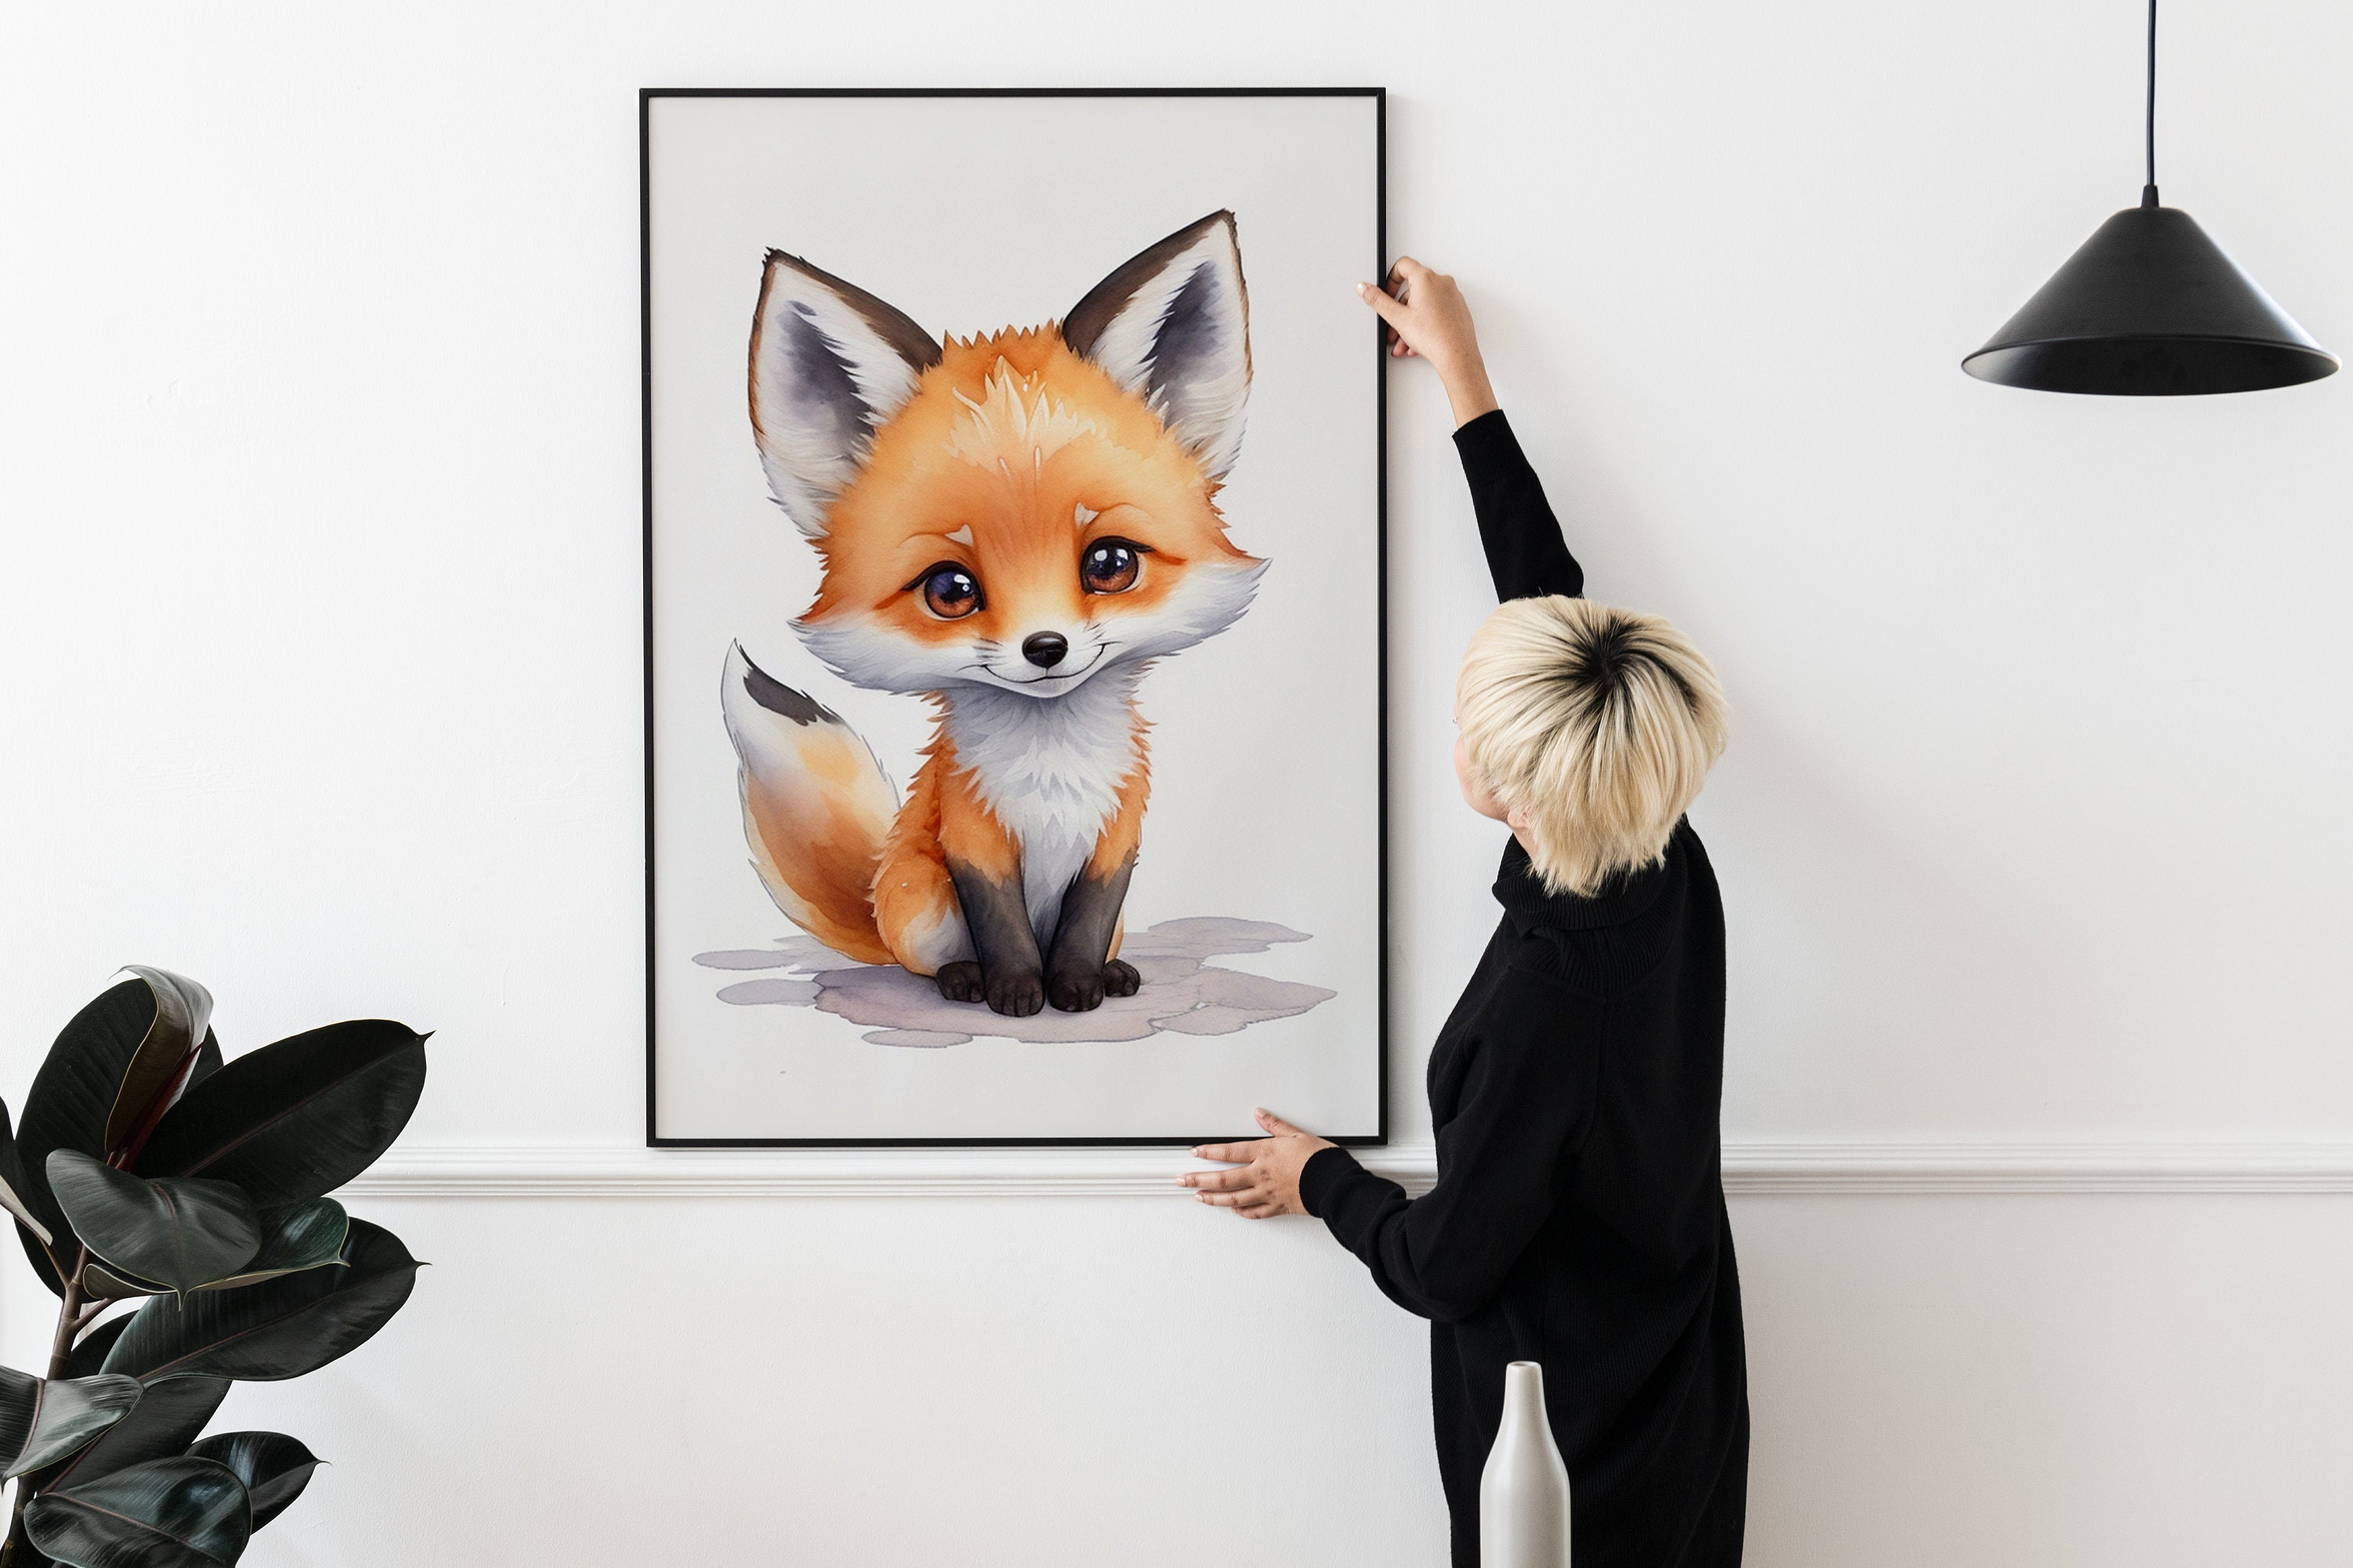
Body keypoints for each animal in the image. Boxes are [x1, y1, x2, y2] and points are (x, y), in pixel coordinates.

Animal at [720, 211, 1264, 1018]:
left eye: (1110, 564)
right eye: (950, 589)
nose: (1046, 646)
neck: (1053, 771)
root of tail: (877, 905)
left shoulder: (1118, 834)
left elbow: (1087, 921)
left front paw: (1077, 983)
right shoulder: (970, 837)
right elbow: (1002, 922)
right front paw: (1015, 989)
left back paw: (1112, 971)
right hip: (921, 897)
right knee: (924, 959)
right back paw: (961, 979)